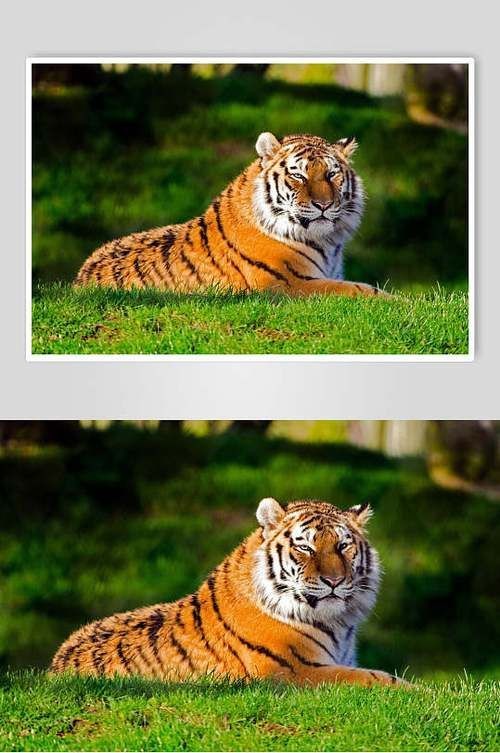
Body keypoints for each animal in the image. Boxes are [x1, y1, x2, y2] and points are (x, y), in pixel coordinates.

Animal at [50, 497, 406, 687]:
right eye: (305, 546)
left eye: (343, 546)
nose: (333, 580)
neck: (337, 623)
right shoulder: (294, 672)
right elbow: (378, 678)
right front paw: (419, 693)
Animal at [75, 132, 386, 298]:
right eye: (298, 175)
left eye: (332, 174)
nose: (323, 204)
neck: (327, 242)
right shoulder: (289, 284)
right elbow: (363, 290)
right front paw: (397, 302)